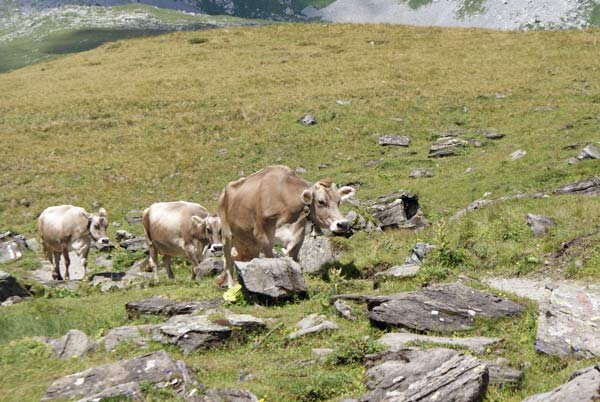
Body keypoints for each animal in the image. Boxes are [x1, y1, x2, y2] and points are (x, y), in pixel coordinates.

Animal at [217, 165, 354, 288]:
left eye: (339, 201)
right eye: (321, 202)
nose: (343, 224)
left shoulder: (297, 234)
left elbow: (291, 255)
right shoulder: (262, 234)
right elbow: (270, 259)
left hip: (249, 242)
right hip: (227, 235)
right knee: (228, 261)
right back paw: (231, 287)